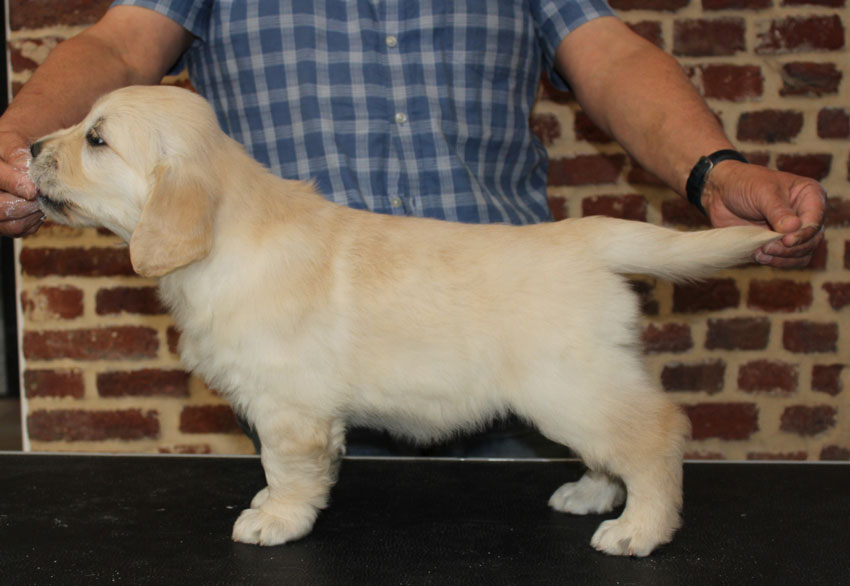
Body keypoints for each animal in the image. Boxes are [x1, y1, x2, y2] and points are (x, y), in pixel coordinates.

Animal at [31, 84, 776, 556]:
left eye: (96, 139)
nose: (31, 146)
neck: (227, 238)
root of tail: (588, 237)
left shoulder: (289, 406)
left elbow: (285, 468)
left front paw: (276, 522)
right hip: (581, 387)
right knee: (616, 446)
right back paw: (593, 495)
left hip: (570, 385)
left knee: (656, 436)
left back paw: (638, 530)